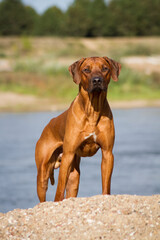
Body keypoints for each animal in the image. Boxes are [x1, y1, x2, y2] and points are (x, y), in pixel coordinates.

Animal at [34, 56, 120, 202]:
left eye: (105, 68)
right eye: (86, 70)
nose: (97, 80)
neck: (92, 110)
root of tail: (48, 125)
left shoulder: (107, 153)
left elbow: (106, 183)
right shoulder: (68, 155)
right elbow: (59, 189)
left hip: (74, 176)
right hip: (43, 172)